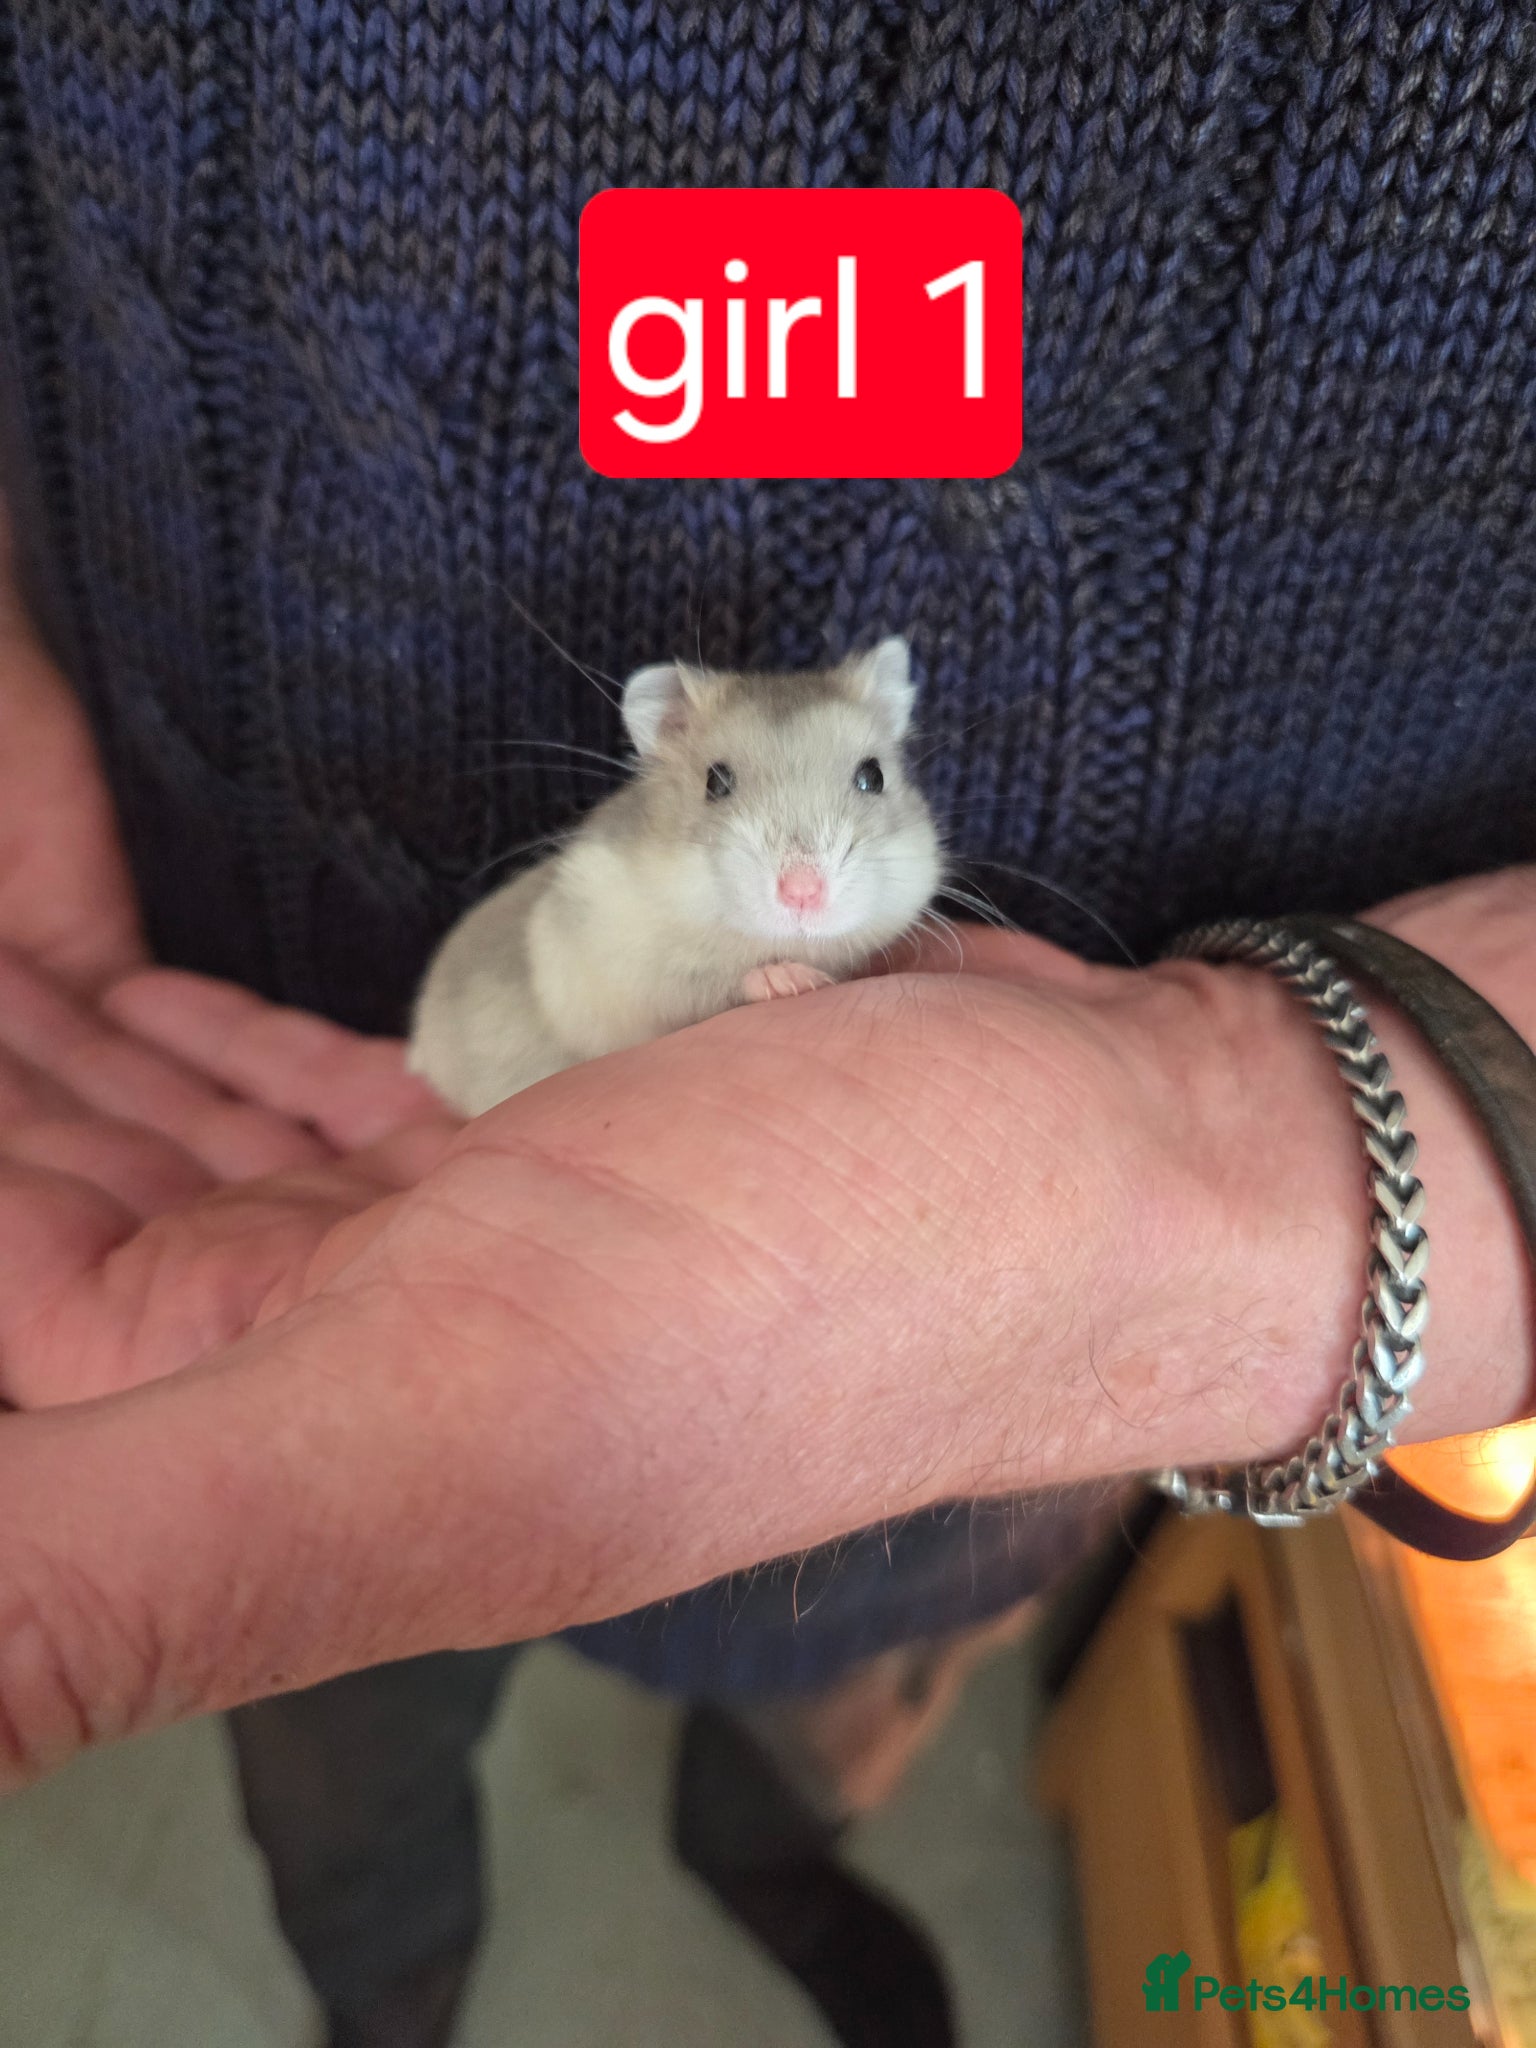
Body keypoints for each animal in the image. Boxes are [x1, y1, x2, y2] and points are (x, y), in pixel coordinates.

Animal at [408, 636, 942, 1115]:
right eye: (715, 782)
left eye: (872, 776)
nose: (803, 893)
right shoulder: (625, 966)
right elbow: (702, 988)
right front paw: (791, 979)